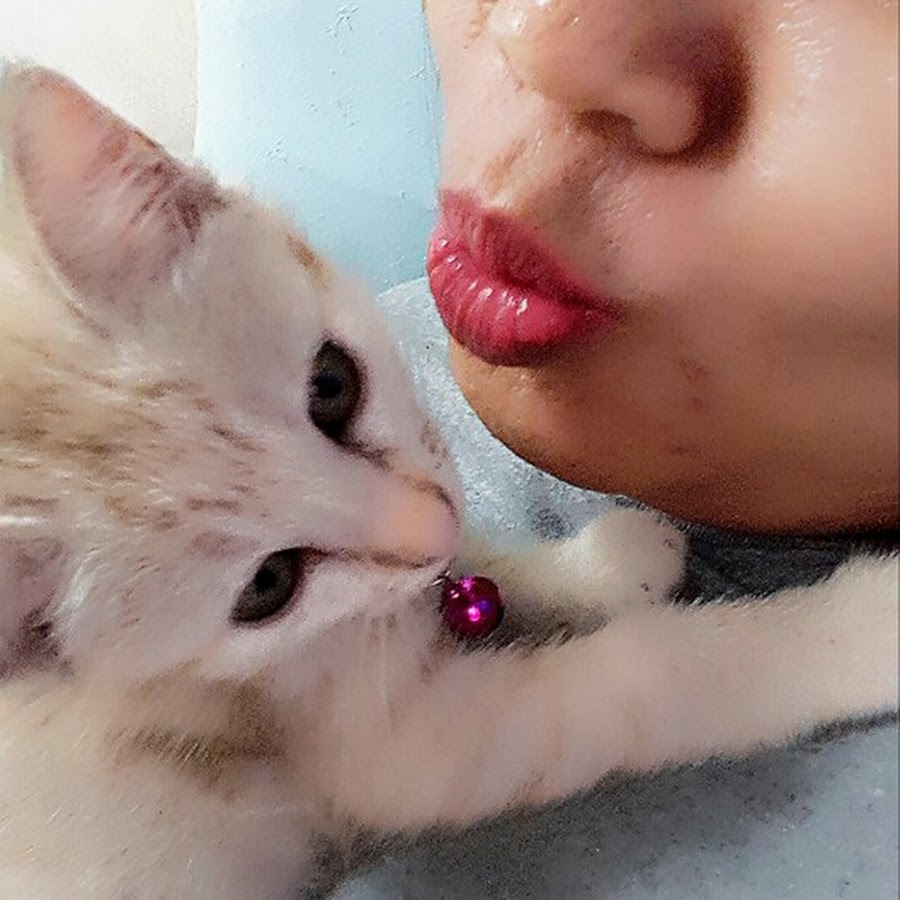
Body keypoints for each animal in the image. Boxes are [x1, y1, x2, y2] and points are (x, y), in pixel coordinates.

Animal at [0, 64, 896, 899]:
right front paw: (856, 629)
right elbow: (650, 676)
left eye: (332, 385)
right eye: (267, 586)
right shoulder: (392, 751)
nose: (430, 526)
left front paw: (605, 562)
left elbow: (472, 568)